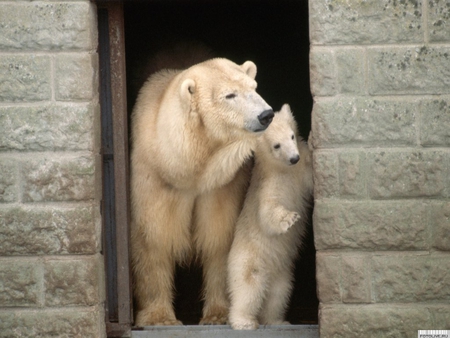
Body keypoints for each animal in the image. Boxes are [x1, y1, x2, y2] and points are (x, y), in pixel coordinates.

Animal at [128, 56, 272, 326]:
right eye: (229, 95)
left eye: (254, 87)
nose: (266, 115)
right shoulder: (153, 175)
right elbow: (155, 237)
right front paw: (159, 318)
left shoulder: (220, 184)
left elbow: (218, 236)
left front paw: (218, 315)